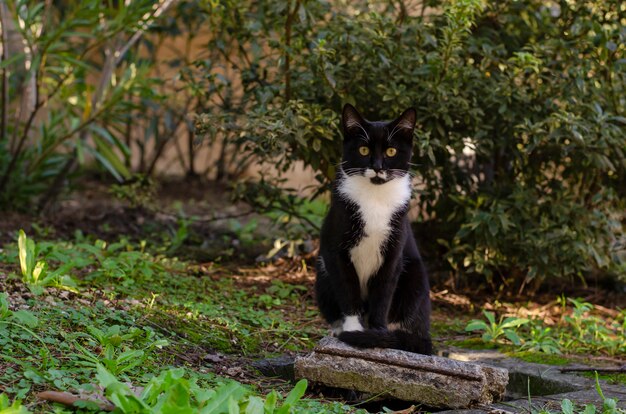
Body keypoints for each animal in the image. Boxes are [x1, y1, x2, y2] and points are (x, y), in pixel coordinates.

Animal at [314, 105, 432, 354]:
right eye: (363, 148)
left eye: (391, 151)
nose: (377, 167)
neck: (374, 198)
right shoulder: (336, 249)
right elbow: (347, 288)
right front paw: (353, 330)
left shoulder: (393, 253)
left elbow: (383, 291)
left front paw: (377, 334)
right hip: (322, 273)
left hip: (414, 277)